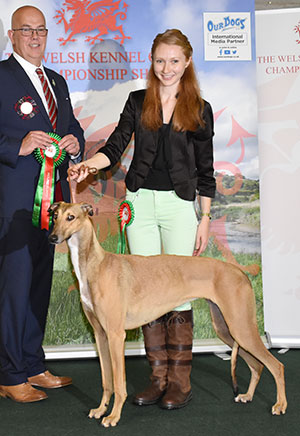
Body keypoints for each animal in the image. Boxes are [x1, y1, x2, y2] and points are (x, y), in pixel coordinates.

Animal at [48, 203, 288, 428]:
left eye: (71, 217)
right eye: (55, 216)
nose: (52, 237)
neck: (95, 264)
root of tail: (240, 272)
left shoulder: (116, 335)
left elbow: (118, 383)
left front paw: (113, 416)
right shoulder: (100, 334)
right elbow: (107, 381)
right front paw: (100, 410)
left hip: (241, 327)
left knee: (276, 365)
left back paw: (280, 405)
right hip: (226, 329)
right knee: (257, 365)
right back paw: (247, 396)